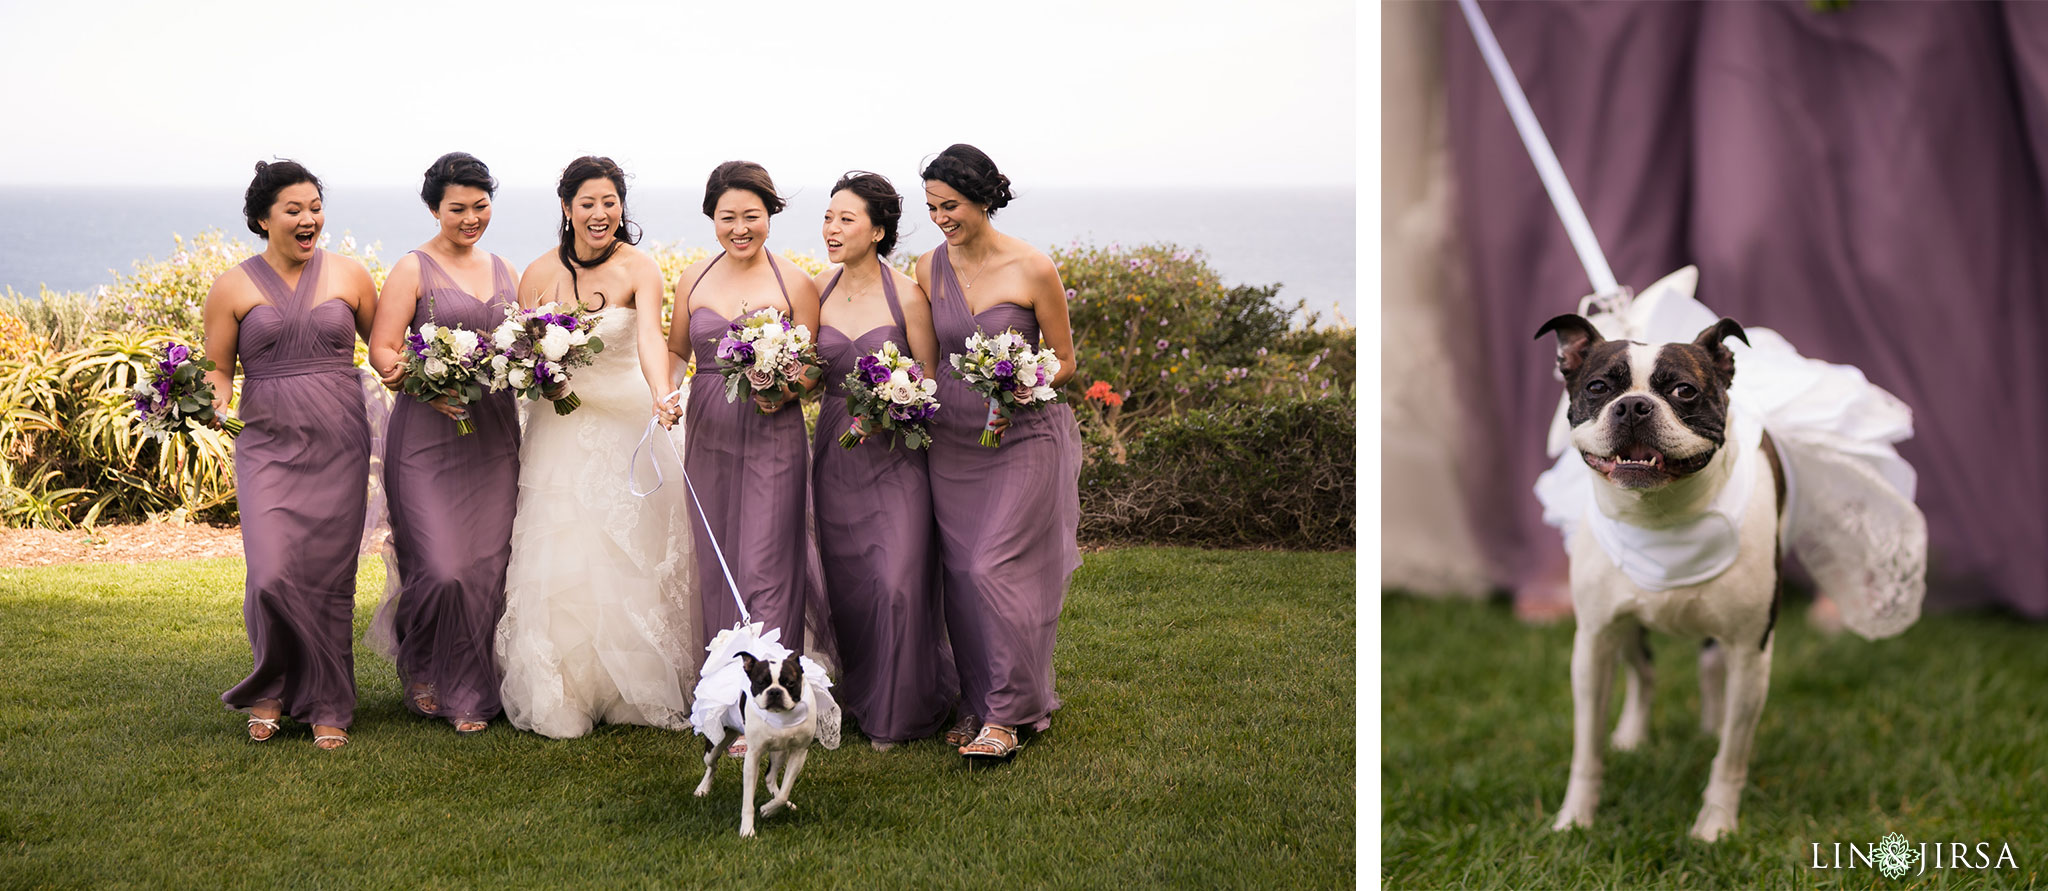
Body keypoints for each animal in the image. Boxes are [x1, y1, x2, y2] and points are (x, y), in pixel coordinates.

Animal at [696, 655, 823, 835]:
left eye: (790, 683)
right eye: (761, 682)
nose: (775, 691)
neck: (781, 715)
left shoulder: (799, 753)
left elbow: (784, 792)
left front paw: (768, 810)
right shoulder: (752, 756)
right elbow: (748, 801)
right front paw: (747, 831)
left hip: (779, 751)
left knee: (770, 778)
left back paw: (783, 804)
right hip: (715, 742)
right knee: (711, 765)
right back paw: (703, 788)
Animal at [1540, 313, 1777, 843]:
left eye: (1684, 391)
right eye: (1599, 387)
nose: (1633, 405)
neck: (1661, 516)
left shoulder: (1751, 653)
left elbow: (1731, 758)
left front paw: (1715, 827)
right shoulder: (1592, 645)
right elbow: (1586, 750)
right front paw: (1575, 819)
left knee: (1710, 667)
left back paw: (1711, 724)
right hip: (1623, 626)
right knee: (1643, 670)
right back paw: (1632, 735)